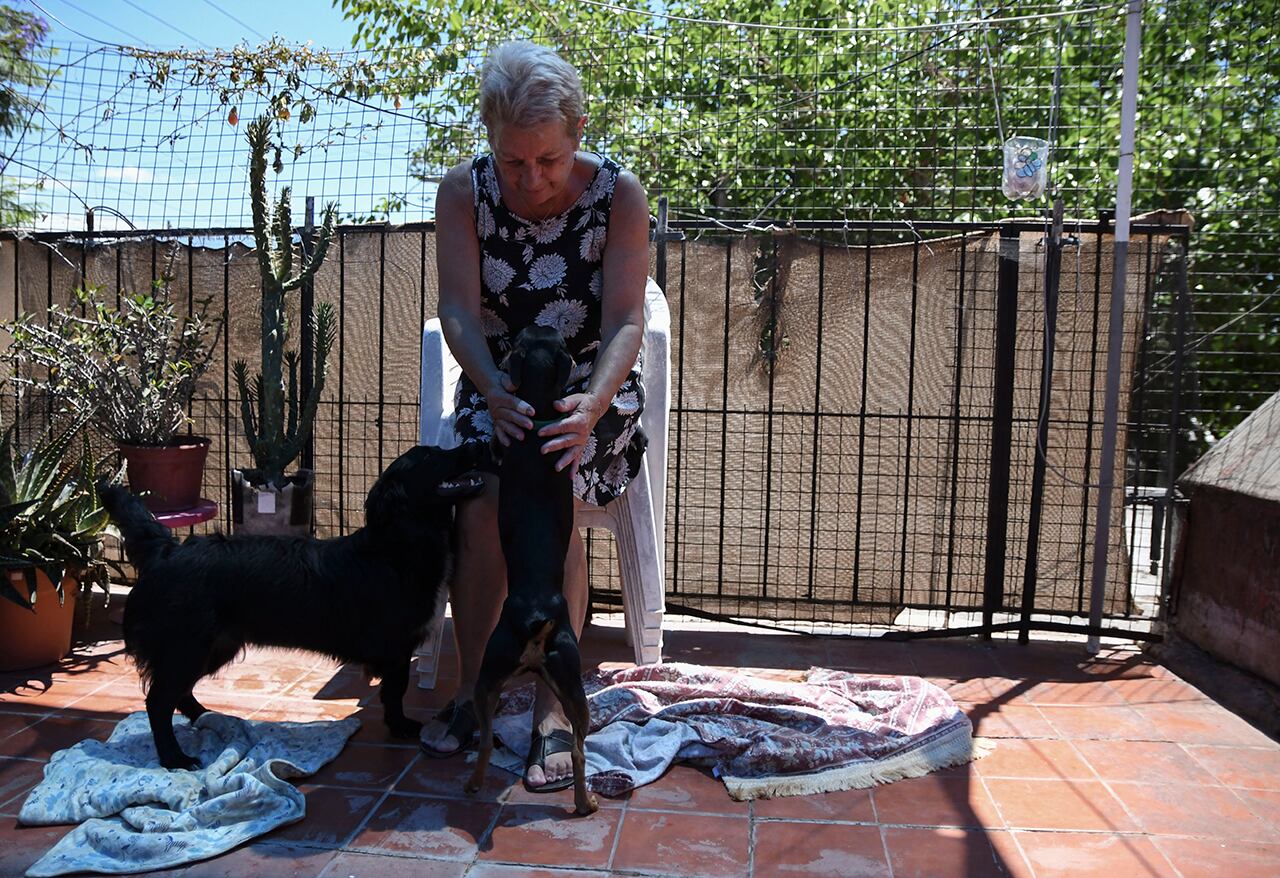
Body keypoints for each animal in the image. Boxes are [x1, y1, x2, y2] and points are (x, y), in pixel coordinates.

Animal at [99, 447, 483, 767]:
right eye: (433, 455)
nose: (478, 444)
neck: (396, 548)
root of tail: (168, 551)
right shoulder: (397, 648)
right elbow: (396, 689)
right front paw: (400, 725)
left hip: (213, 646)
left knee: (179, 694)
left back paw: (209, 719)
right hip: (187, 646)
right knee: (158, 701)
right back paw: (175, 758)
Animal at [463, 326, 596, 824]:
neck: (538, 412)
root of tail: (537, 621)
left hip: (495, 673)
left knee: (492, 740)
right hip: (561, 684)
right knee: (573, 747)